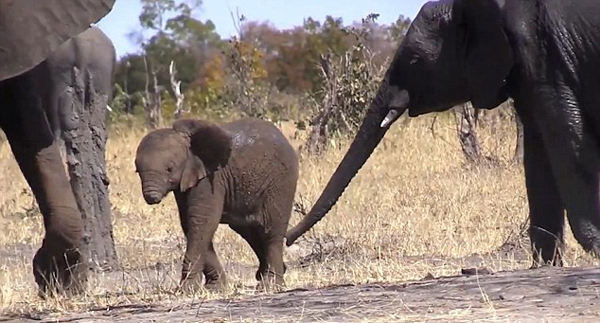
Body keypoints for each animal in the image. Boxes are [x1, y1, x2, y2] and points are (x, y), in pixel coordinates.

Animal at [134, 118, 298, 292]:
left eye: (169, 169)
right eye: (137, 171)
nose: (152, 198)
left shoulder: (211, 179)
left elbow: (202, 221)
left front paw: (186, 290)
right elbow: (190, 224)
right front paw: (215, 287)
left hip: (281, 181)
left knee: (271, 230)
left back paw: (270, 285)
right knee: (250, 231)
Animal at [286, 0, 600, 268]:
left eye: (414, 61)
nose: (286, 240)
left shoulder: (542, 54)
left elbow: (568, 145)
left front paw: (595, 247)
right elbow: (539, 155)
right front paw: (544, 267)